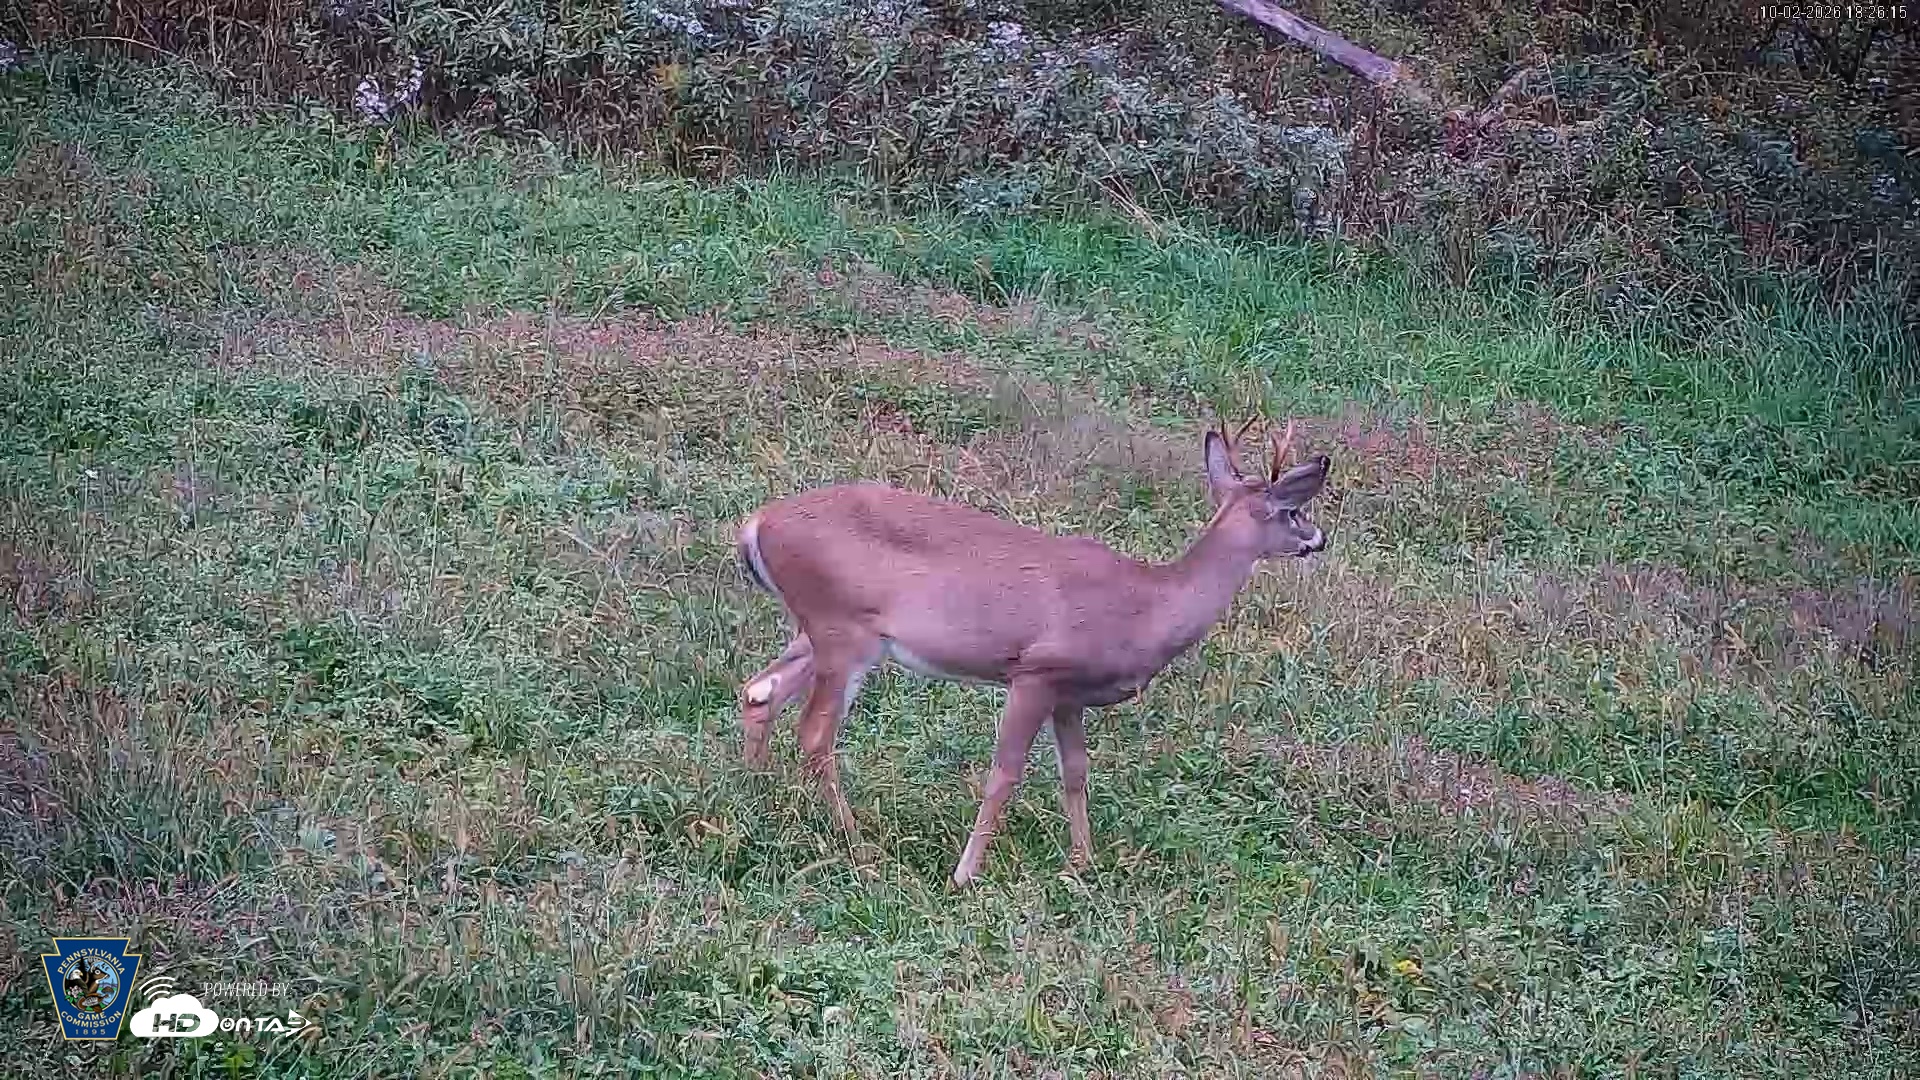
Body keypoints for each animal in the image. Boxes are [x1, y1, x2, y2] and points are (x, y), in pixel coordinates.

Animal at [733, 415, 1331, 887]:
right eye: (1292, 512)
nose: (1319, 538)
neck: (1147, 606)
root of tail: (757, 524)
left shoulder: (1069, 693)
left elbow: (1076, 771)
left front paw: (1082, 863)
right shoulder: (1036, 670)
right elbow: (1005, 773)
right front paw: (965, 874)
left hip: (821, 629)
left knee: (760, 690)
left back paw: (756, 800)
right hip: (842, 628)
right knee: (814, 732)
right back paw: (858, 845)